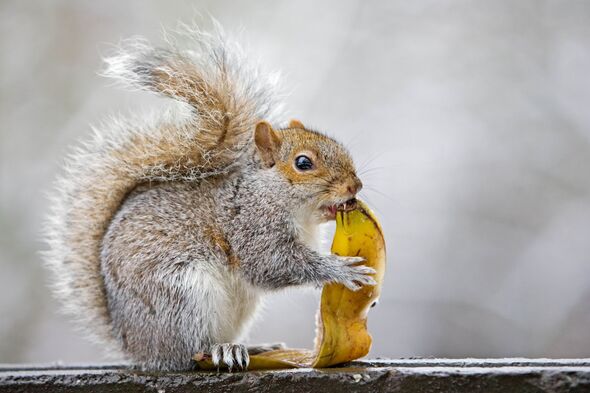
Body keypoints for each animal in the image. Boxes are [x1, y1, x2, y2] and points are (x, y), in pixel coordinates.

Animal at [45, 24, 374, 370]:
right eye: (303, 163)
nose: (354, 186)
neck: (275, 196)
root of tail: (135, 345)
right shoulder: (250, 227)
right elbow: (271, 264)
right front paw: (340, 269)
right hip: (182, 296)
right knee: (189, 352)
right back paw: (222, 350)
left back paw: (252, 347)